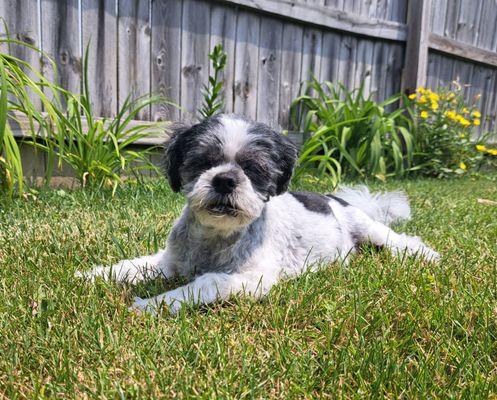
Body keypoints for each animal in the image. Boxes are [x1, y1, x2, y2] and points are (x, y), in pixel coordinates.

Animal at [79, 114, 440, 314]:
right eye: (204, 162)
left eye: (253, 169)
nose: (225, 179)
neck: (215, 238)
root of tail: (334, 198)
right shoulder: (171, 262)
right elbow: (135, 266)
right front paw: (93, 275)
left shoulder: (251, 279)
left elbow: (206, 282)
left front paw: (153, 305)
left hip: (369, 228)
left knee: (400, 239)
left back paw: (424, 254)